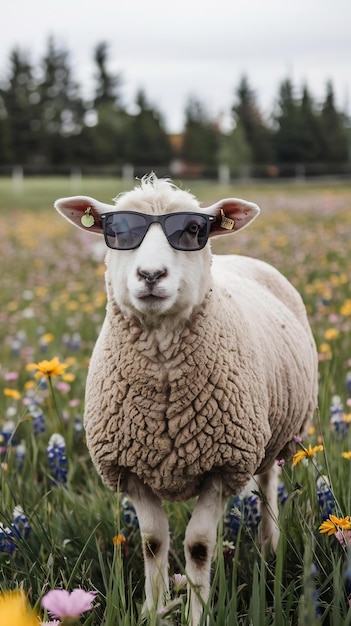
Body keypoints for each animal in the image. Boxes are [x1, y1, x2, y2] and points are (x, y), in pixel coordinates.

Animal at [54, 173, 320, 620]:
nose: (150, 274)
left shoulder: (223, 465)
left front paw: (198, 613)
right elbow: (153, 542)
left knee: (268, 482)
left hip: (274, 436)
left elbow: (198, 545)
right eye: (115, 231)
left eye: (195, 230)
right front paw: (154, 610)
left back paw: (270, 545)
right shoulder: (130, 468)